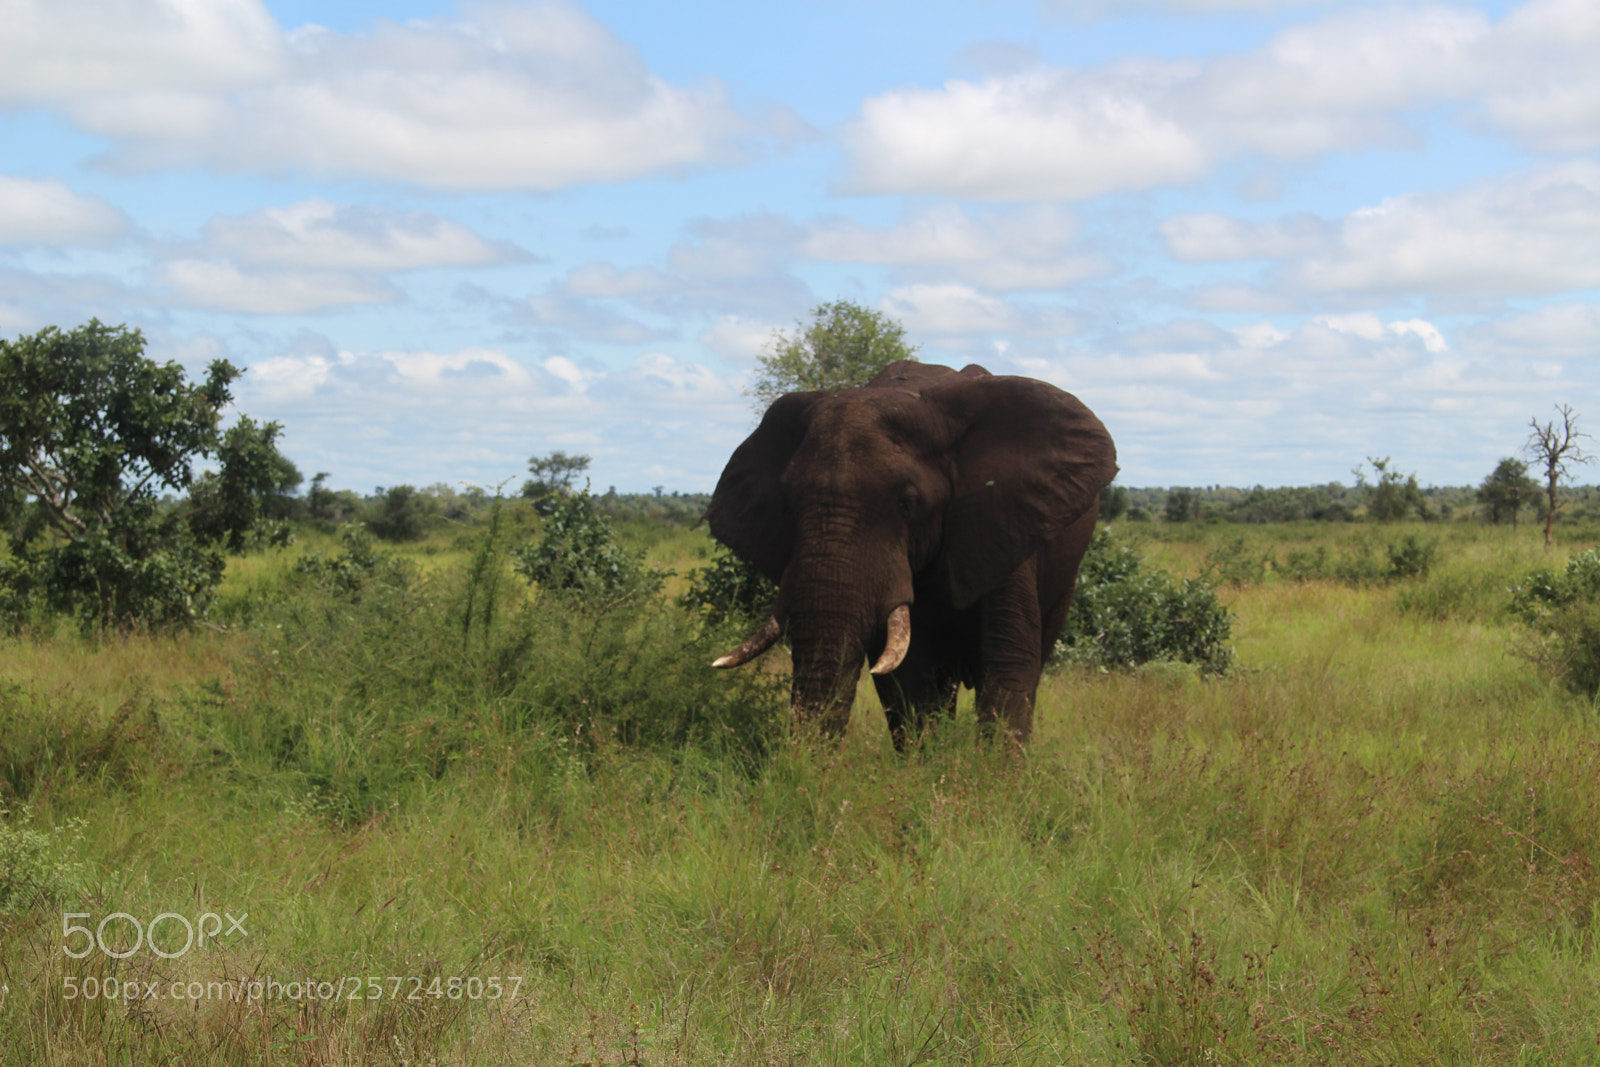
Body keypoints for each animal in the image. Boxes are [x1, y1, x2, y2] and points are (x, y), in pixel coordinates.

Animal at [707, 363, 1120, 748]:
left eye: (907, 503)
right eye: (788, 507)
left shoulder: (1003, 519)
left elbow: (1007, 660)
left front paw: (997, 776)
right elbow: (909, 679)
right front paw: (928, 766)